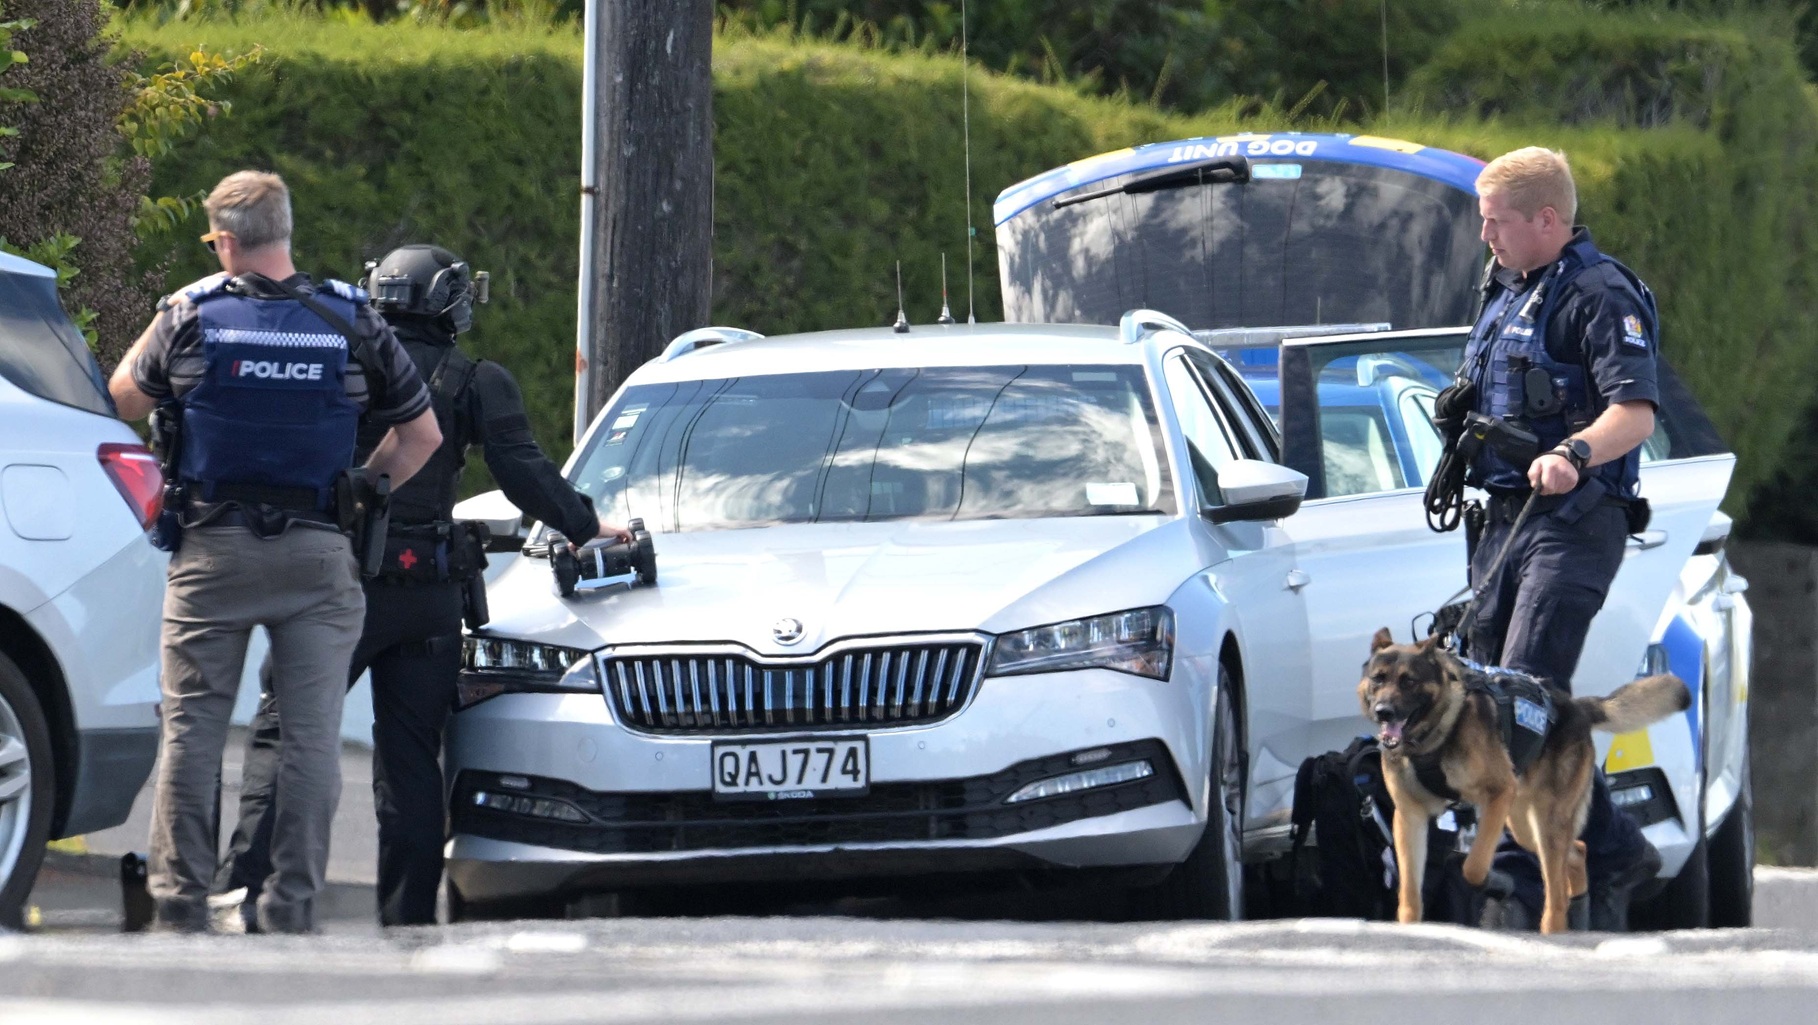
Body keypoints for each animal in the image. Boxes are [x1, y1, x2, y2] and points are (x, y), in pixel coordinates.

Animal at [1367, 628, 1687, 930]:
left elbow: (1475, 866)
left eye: (1409, 682)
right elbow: (1409, 892)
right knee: (1577, 852)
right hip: (1523, 825)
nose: (1383, 712)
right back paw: (1580, 911)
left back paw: (1555, 927)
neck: (1434, 735)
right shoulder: (1410, 816)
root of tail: (1577, 708)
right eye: (1378, 680)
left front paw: (1494, 881)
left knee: (1556, 892)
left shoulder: (1498, 793)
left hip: (1545, 823)